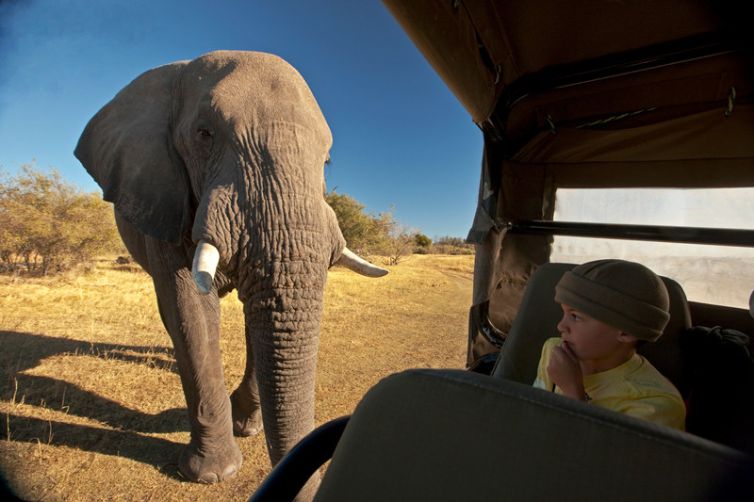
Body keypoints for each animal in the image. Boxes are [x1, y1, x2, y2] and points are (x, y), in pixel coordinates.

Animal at [74, 50, 387, 494]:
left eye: (326, 161)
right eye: (204, 134)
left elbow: (261, 311)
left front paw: (246, 424)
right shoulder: (167, 194)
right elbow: (190, 311)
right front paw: (211, 474)